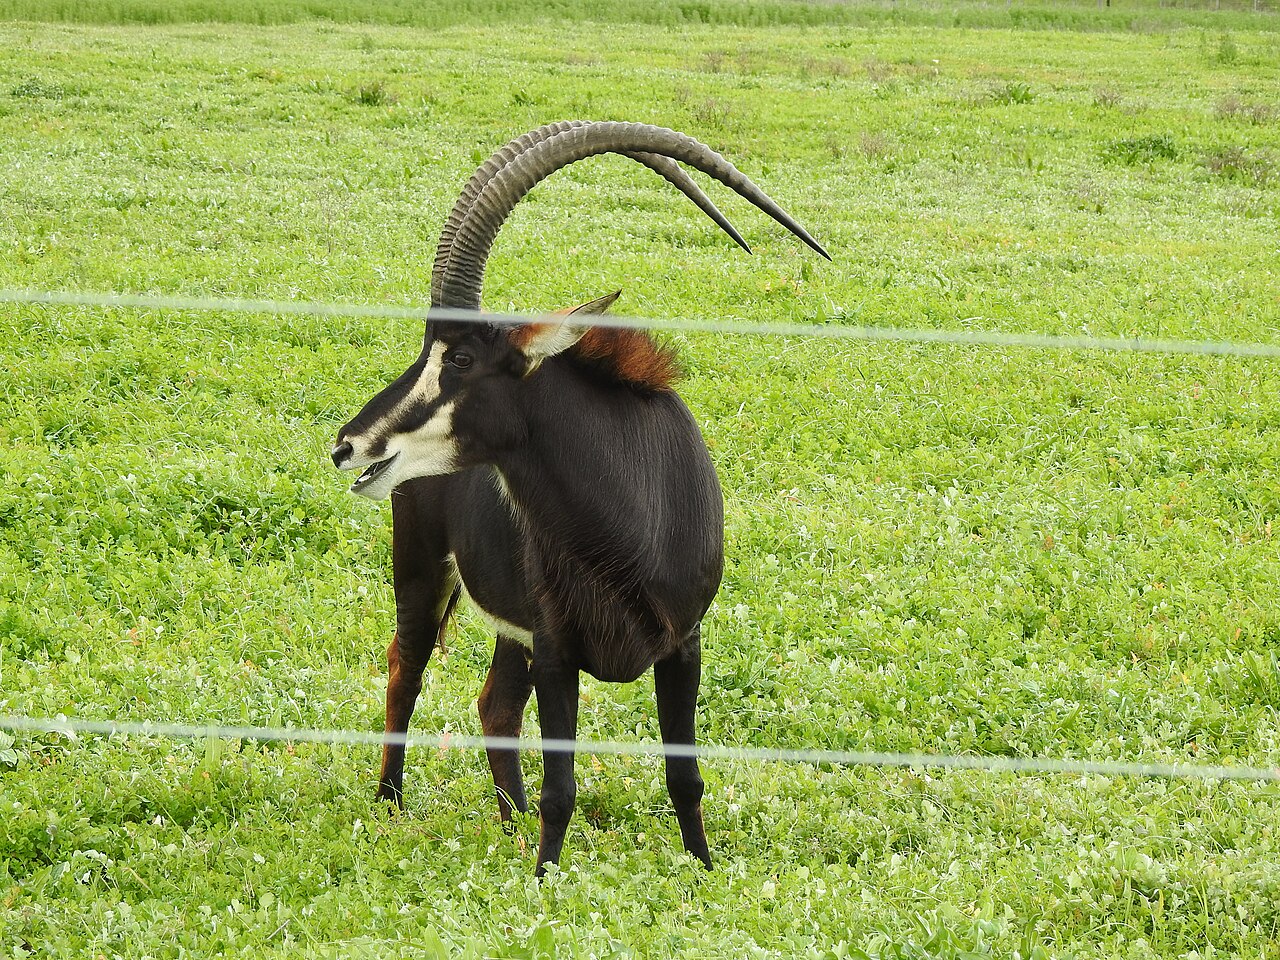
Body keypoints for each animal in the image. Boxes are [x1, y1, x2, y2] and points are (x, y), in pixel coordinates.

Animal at [332, 121, 828, 873]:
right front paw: (546, 880)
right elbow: (560, 786)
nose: (348, 445)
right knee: (405, 670)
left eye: (460, 358)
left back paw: (507, 821)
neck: (629, 519)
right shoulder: (558, 648)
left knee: (494, 705)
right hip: (421, 572)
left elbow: (685, 774)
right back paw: (391, 804)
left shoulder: (683, 645)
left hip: (511, 624)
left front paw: (702, 871)